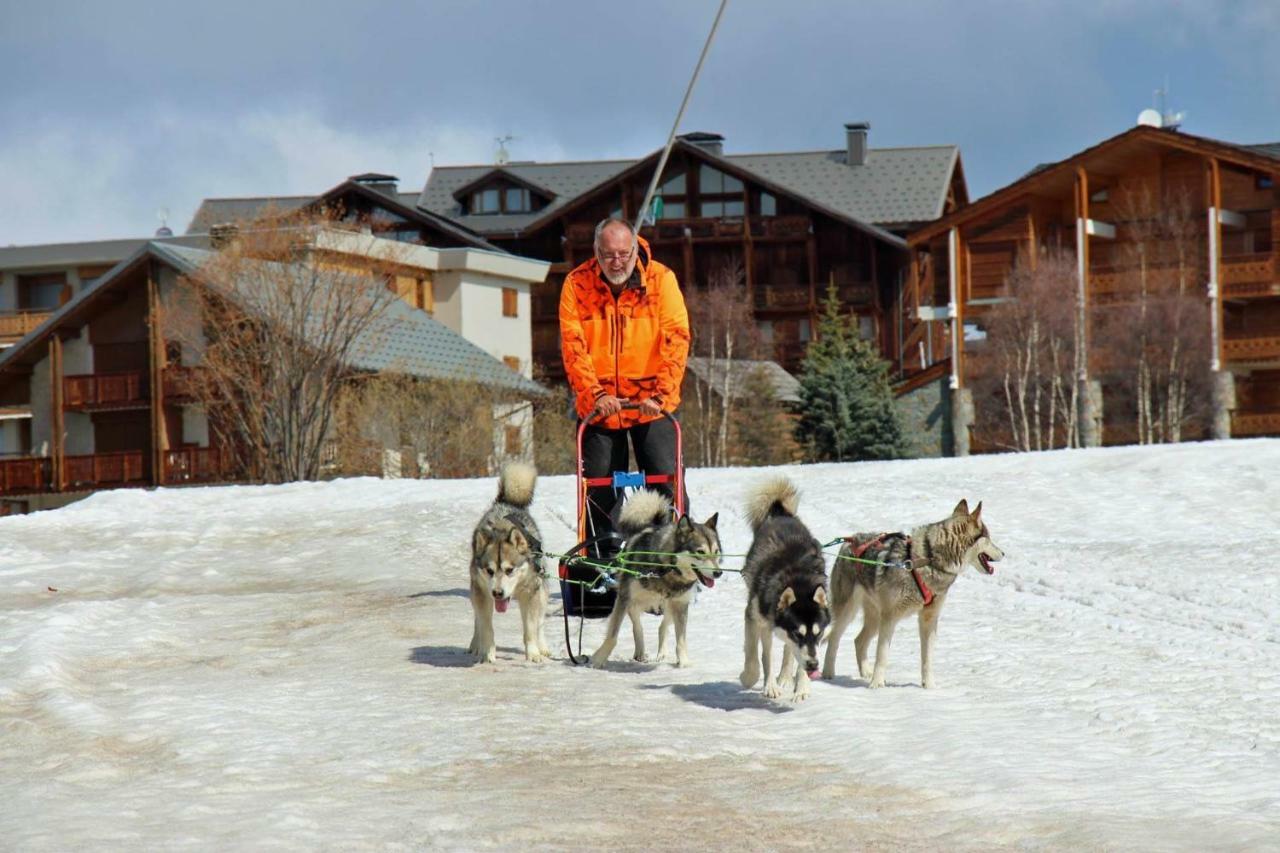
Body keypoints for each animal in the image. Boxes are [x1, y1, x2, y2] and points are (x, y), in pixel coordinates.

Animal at [471, 461, 550, 660]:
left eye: (509, 570)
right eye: (489, 570)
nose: (498, 593)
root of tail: (507, 502)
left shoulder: (531, 594)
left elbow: (531, 628)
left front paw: (533, 653)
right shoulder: (482, 593)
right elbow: (485, 626)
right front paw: (487, 652)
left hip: (542, 591)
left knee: (540, 622)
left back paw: (543, 646)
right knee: (477, 620)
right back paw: (475, 644)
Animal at [588, 489, 721, 666]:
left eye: (716, 552)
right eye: (700, 552)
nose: (718, 573)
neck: (665, 570)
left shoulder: (681, 604)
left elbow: (681, 640)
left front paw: (684, 663)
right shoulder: (625, 598)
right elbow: (613, 636)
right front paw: (599, 659)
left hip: (670, 605)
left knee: (663, 626)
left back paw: (662, 653)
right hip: (634, 602)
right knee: (637, 626)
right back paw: (640, 651)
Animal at [742, 473, 829, 701]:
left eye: (818, 634)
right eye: (798, 634)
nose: (814, 665)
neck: (797, 580)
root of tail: (783, 515)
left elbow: (796, 656)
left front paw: (802, 687)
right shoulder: (755, 617)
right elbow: (760, 656)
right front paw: (754, 680)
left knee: (789, 653)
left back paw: (786, 677)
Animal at [824, 499, 1003, 686]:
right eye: (989, 539)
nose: (1004, 553)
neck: (928, 560)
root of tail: (848, 542)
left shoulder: (928, 619)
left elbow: (927, 659)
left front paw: (929, 686)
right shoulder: (890, 618)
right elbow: (882, 656)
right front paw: (877, 685)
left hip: (875, 618)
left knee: (858, 641)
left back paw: (865, 672)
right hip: (849, 612)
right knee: (833, 638)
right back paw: (828, 673)